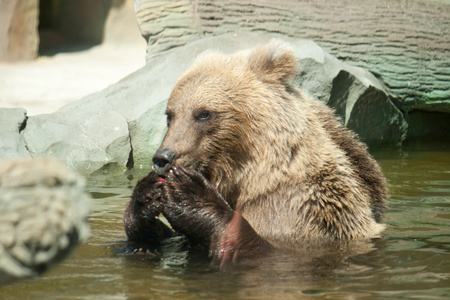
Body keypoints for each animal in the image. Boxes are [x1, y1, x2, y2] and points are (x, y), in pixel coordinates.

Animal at [123, 39, 386, 268]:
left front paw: (189, 194)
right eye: (170, 115)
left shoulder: (303, 207)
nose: (163, 157)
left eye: (204, 113)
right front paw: (145, 197)